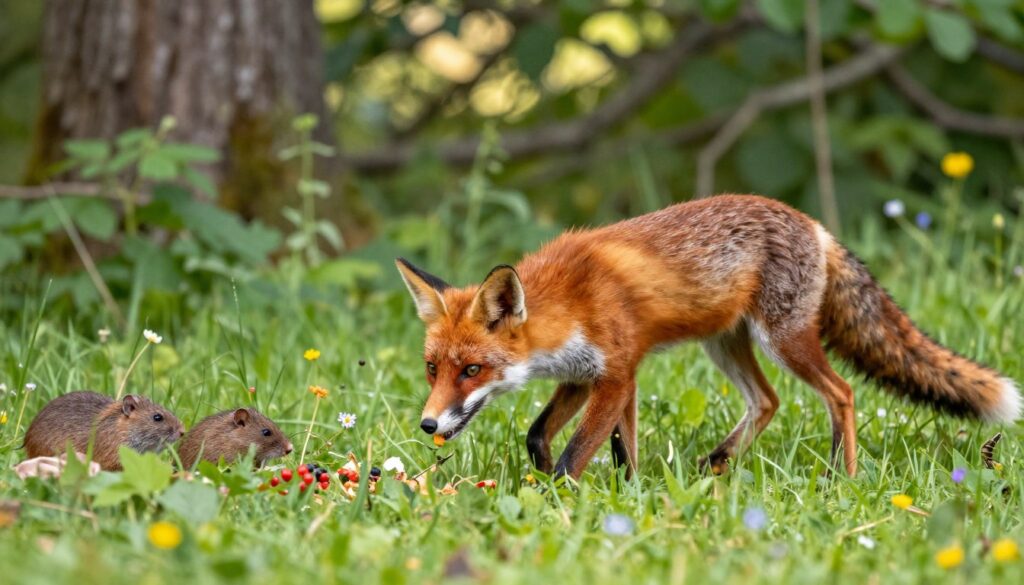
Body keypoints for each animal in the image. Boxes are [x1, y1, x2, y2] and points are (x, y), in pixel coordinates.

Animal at [396, 195, 1021, 480]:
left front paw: (554, 495)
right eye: (432, 369)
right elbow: (547, 436)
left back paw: (841, 477)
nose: (427, 424)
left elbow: (578, 452)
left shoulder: (616, 372)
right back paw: (719, 462)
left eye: (471, 370)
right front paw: (621, 490)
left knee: (841, 393)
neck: (568, 302)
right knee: (766, 401)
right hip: (725, 345)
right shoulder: (587, 375)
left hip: (783, 340)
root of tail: (812, 223)